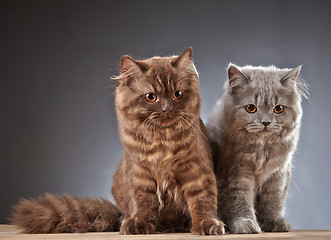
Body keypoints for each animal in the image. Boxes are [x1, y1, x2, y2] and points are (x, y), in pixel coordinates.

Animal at [12, 47, 226, 235]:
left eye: (177, 94)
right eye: (151, 97)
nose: (167, 109)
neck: (162, 141)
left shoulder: (197, 171)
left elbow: (202, 201)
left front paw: (208, 224)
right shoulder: (140, 175)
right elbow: (143, 203)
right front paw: (139, 224)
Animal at [208, 64, 308, 233]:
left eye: (278, 109)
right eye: (250, 108)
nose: (266, 122)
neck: (261, 148)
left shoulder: (277, 175)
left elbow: (272, 202)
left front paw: (274, 222)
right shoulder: (236, 174)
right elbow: (240, 201)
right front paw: (246, 225)